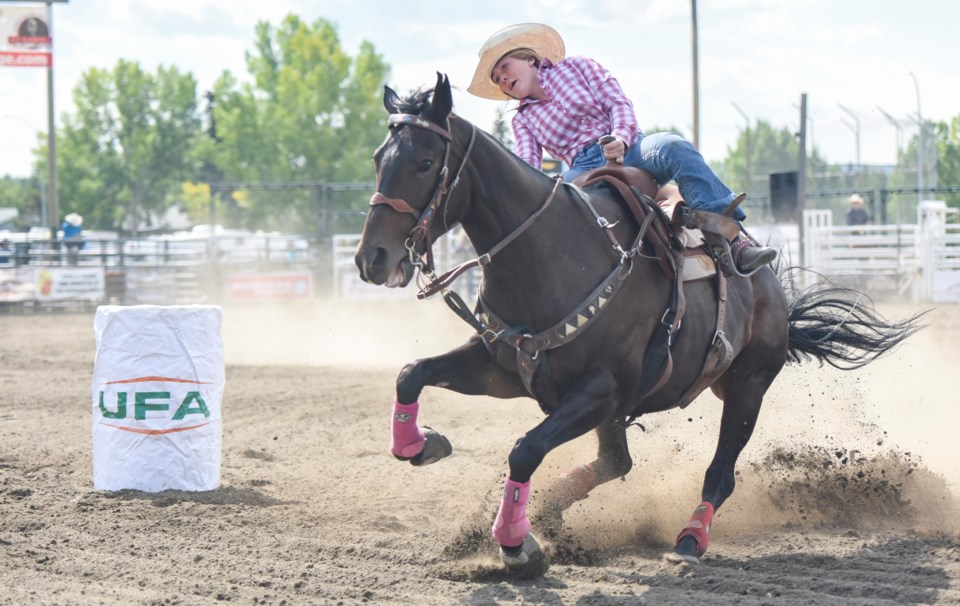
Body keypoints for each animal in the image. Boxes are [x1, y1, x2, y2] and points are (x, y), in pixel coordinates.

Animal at [356, 73, 928, 576]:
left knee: (719, 475)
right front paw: (421, 445)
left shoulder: (601, 391)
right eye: (379, 158)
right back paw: (545, 513)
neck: (551, 253)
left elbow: (524, 449)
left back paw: (689, 540)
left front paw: (517, 546)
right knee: (617, 463)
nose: (372, 259)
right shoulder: (508, 367)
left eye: (425, 162)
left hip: (747, 386)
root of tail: (770, 286)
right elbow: (412, 372)